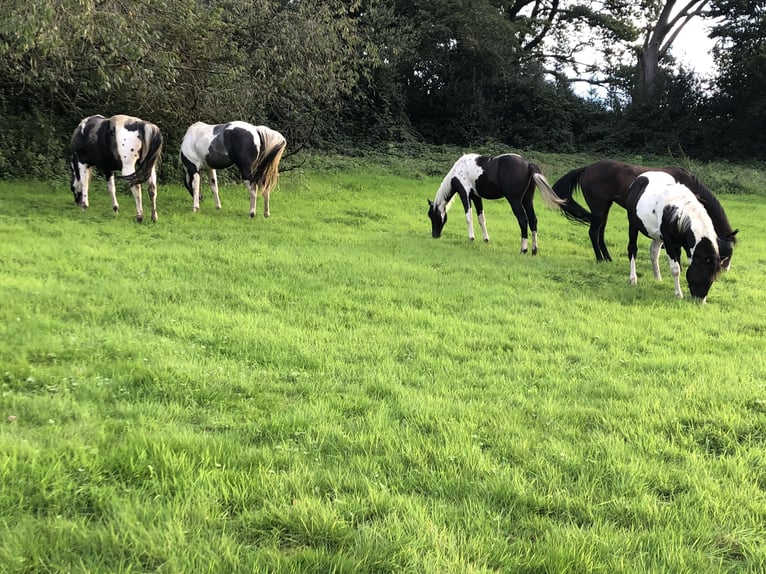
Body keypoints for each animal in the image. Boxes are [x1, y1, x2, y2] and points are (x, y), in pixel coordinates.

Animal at [428, 153, 568, 254]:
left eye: (432, 216)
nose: (435, 235)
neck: (458, 170)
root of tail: (528, 164)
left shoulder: (465, 193)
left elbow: (468, 216)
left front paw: (471, 238)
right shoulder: (476, 197)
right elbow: (481, 218)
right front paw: (486, 239)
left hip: (515, 200)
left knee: (523, 220)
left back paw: (523, 249)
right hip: (527, 200)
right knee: (533, 220)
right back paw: (534, 250)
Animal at [556, 158, 740, 266]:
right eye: (726, 253)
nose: (723, 270)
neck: (688, 184)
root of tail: (587, 168)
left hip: (605, 207)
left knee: (600, 231)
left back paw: (607, 258)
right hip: (599, 208)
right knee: (594, 232)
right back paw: (600, 259)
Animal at [628, 171, 728, 304]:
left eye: (713, 279)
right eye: (703, 274)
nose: (700, 301)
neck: (678, 213)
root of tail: (641, 177)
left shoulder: (680, 244)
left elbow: (679, 266)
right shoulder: (669, 243)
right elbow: (676, 269)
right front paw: (678, 294)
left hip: (658, 237)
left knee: (654, 252)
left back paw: (658, 278)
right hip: (633, 225)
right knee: (632, 249)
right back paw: (633, 279)